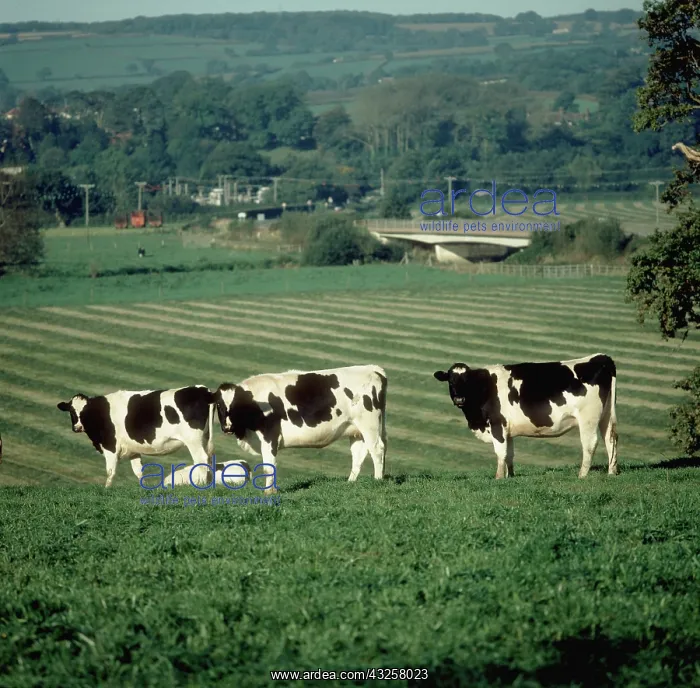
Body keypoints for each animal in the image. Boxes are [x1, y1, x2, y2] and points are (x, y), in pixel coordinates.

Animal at [57, 386, 216, 487]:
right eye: (71, 411)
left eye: (85, 411)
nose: (77, 427)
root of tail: (202, 389)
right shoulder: (133, 450)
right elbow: (139, 471)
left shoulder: (110, 447)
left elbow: (110, 471)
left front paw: (106, 489)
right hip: (204, 438)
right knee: (208, 458)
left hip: (193, 439)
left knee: (201, 459)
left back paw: (200, 484)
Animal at [213, 365, 388, 495]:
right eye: (219, 405)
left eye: (236, 405)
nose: (227, 427)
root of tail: (372, 368)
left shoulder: (270, 436)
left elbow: (269, 464)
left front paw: (269, 492)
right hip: (356, 429)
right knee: (359, 453)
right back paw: (351, 482)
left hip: (369, 423)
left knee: (377, 449)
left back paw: (378, 480)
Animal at [433, 353, 618, 479]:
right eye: (451, 381)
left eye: (467, 380)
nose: (459, 399)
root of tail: (600, 358)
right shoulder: (507, 429)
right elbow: (509, 454)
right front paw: (510, 476)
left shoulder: (497, 424)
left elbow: (500, 452)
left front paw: (498, 477)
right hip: (606, 415)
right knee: (611, 439)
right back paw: (612, 472)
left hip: (588, 417)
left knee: (590, 443)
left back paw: (582, 475)